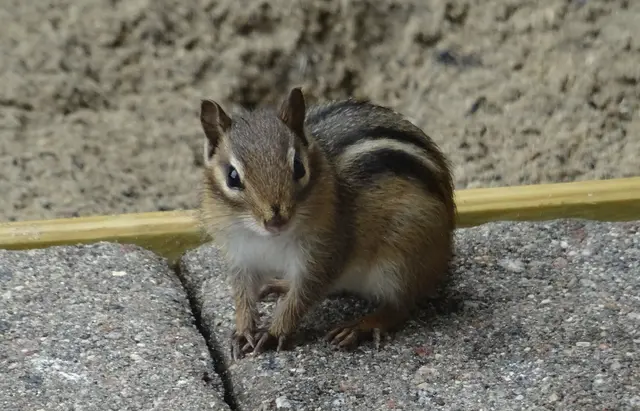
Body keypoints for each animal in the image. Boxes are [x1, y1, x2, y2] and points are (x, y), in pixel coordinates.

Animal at [198, 87, 456, 359]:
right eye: (232, 177)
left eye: (299, 167)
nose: (276, 219)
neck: (266, 238)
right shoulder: (241, 256)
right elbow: (243, 295)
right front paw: (244, 329)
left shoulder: (323, 253)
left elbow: (302, 297)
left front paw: (274, 333)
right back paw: (281, 284)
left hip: (402, 259)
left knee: (400, 306)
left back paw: (361, 326)